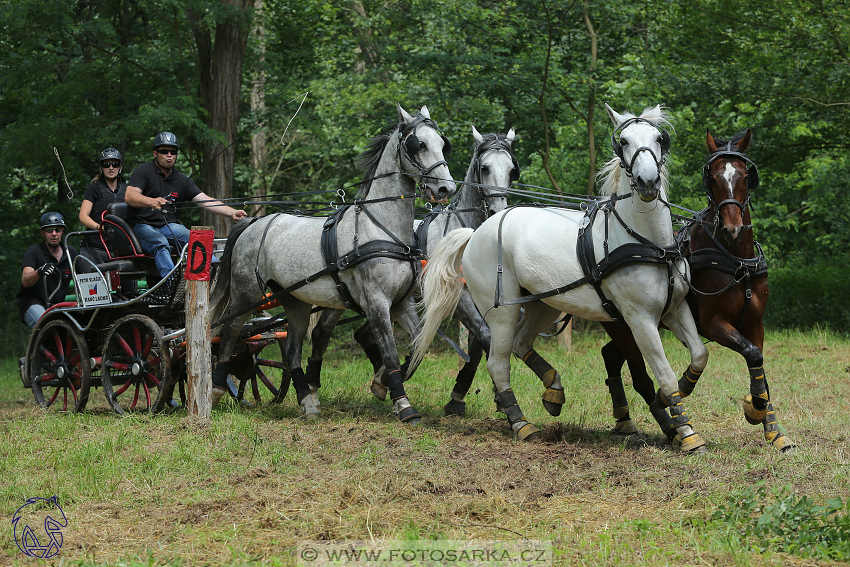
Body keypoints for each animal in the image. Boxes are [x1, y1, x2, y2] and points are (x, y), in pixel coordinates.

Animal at [209, 104, 454, 424]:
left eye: (442, 143)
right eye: (419, 144)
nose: (446, 189)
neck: (381, 227)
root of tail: (253, 222)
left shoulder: (401, 303)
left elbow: (416, 348)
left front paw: (382, 383)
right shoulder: (376, 302)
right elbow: (389, 352)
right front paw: (403, 405)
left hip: (296, 301)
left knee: (291, 351)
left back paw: (307, 401)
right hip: (246, 295)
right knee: (229, 335)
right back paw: (215, 389)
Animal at [410, 105, 708, 452]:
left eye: (659, 138)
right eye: (623, 141)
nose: (647, 181)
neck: (648, 243)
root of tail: (475, 232)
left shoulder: (675, 309)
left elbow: (699, 356)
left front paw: (673, 399)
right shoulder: (639, 319)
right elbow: (664, 372)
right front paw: (687, 432)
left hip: (544, 303)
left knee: (522, 343)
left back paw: (553, 391)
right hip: (502, 311)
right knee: (498, 363)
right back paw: (520, 423)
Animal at [600, 129, 792, 452]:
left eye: (745, 175)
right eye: (712, 177)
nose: (733, 229)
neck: (735, 258)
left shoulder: (755, 323)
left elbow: (760, 367)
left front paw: (774, 431)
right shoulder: (714, 324)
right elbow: (752, 355)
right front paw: (754, 410)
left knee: (610, 356)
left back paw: (625, 420)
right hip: (625, 325)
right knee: (639, 376)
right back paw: (667, 421)